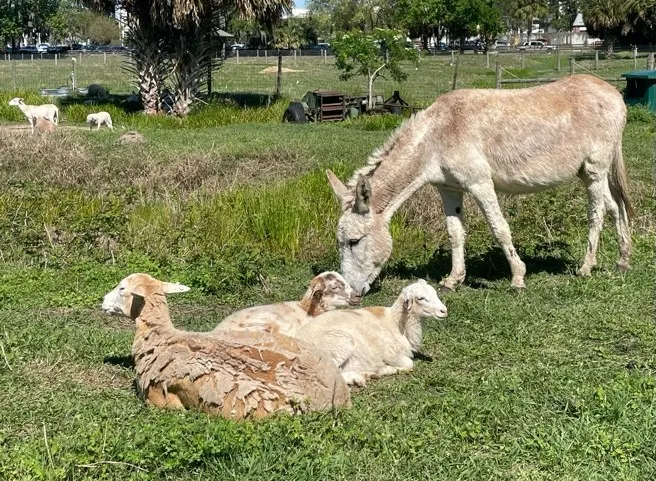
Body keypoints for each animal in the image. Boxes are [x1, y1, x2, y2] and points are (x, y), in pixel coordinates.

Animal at [298, 279, 448, 387]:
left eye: (435, 293)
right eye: (420, 298)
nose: (444, 311)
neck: (396, 322)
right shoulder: (391, 353)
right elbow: (409, 364)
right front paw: (386, 369)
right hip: (338, 343)